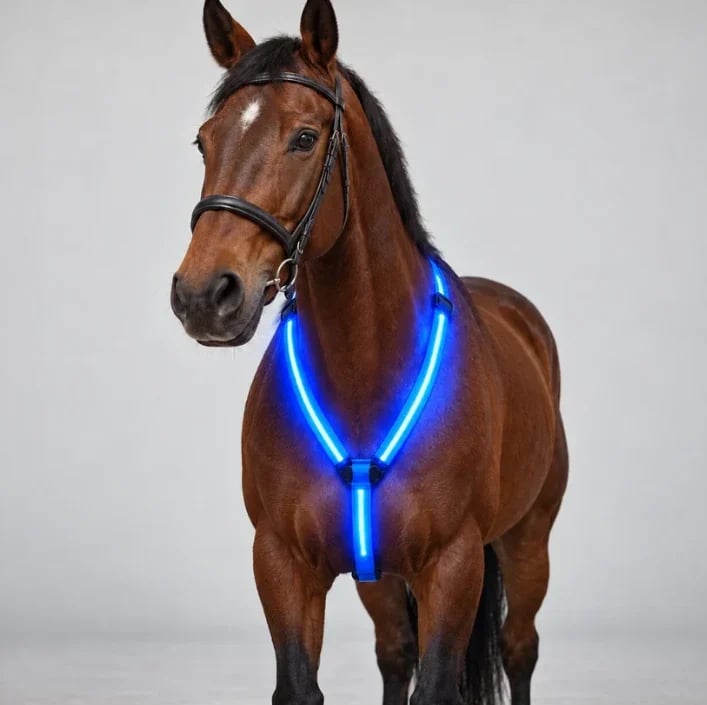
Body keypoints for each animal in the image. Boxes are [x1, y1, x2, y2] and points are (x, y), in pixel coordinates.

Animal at [170, 1, 568, 704]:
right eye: (204, 141)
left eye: (304, 138)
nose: (203, 295)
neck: (364, 377)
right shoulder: (281, 562)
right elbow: (304, 684)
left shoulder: (453, 566)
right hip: (380, 578)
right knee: (394, 653)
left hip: (528, 543)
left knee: (520, 648)